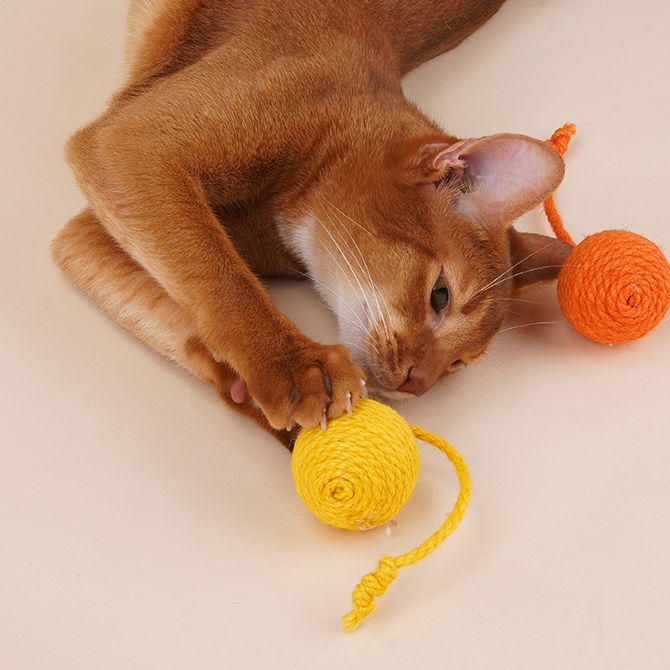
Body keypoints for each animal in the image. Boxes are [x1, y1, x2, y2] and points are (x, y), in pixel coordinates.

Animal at [51, 1, 572, 452]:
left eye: (459, 363)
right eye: (439, 296)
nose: (418, 384)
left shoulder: (88, 233)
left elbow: (186, 314)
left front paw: (253, 394)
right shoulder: (127, 144)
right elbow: (221, 278)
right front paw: (293, 364)